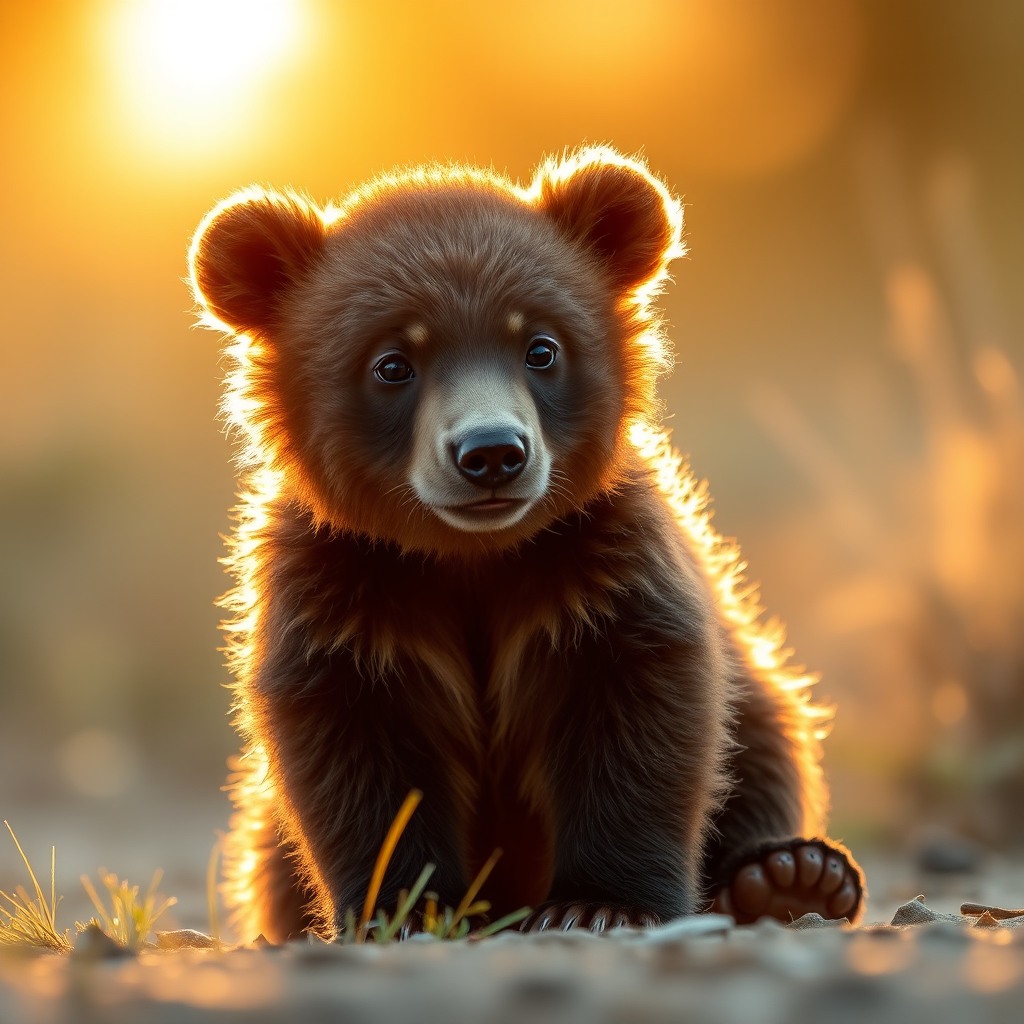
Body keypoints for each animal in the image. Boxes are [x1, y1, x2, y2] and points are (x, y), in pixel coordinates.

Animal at [188, 146, 864, 942]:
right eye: (392, 362)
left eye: (540, 346)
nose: (491, 453)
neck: (471, 559)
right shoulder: (346, 594)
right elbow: (359, 758)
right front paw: (406, 910)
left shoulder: (599, 570)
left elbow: (639, 721)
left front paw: (598, 903)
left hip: (754, 679)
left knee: (767, 736)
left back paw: (790, 876)